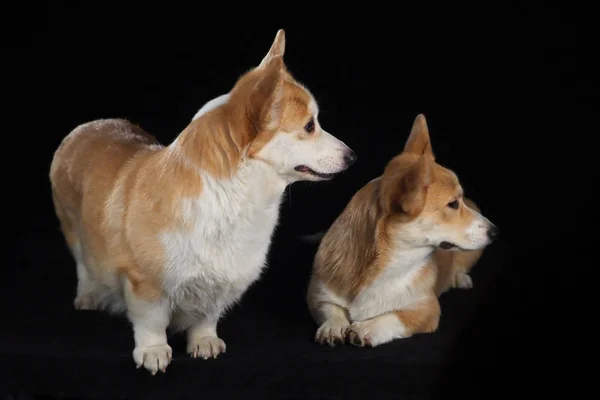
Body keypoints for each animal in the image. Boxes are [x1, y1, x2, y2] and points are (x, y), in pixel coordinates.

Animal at [50, 28, 356, 376]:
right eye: (309, 126)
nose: (352, 156)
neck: (232, 196)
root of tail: (87, 126)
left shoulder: (221, 282)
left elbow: (207, 316)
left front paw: (204, 343)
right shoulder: (146, 285)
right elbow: (151, 323)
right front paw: (154, 352)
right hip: (72, 227)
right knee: (83, 262)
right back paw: (88, 296)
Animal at [304, 113, 496, 346]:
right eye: (452, 204)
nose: (495, 231)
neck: (389, 261)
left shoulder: (427, 309)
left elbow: (394, 316)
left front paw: (365, 328)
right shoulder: (318, 296)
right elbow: (331, 309)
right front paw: (333, 327)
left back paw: (460, 278)